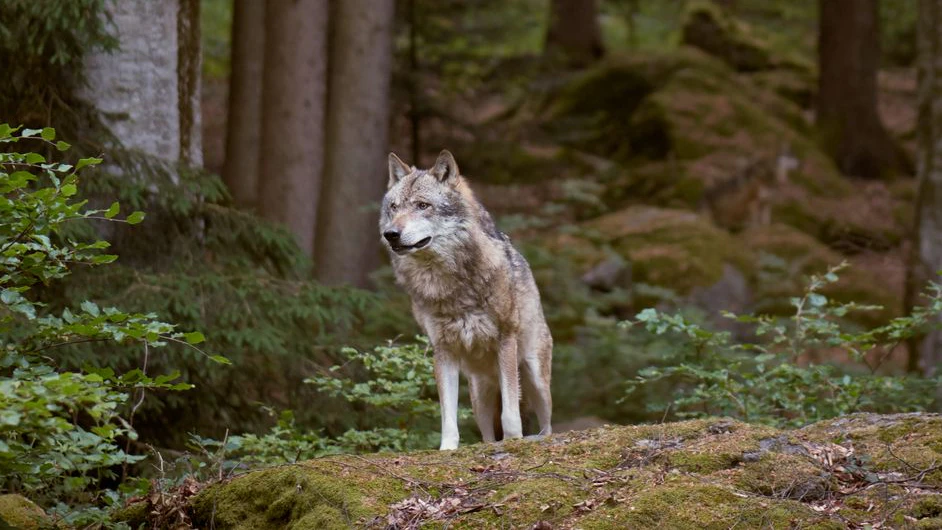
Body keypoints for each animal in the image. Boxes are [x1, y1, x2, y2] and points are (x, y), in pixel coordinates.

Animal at [380, 150, 553, 450]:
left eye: (423, 205)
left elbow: (510, 414)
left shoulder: (506, 339)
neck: (449, 284)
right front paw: (447, 449)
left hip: (535, 381)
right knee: (486, 434)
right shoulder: (442, 349)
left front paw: (514, 440)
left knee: (548, 425)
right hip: (479, 397)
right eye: (394, 207)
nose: (391, 234)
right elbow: (448, 415)